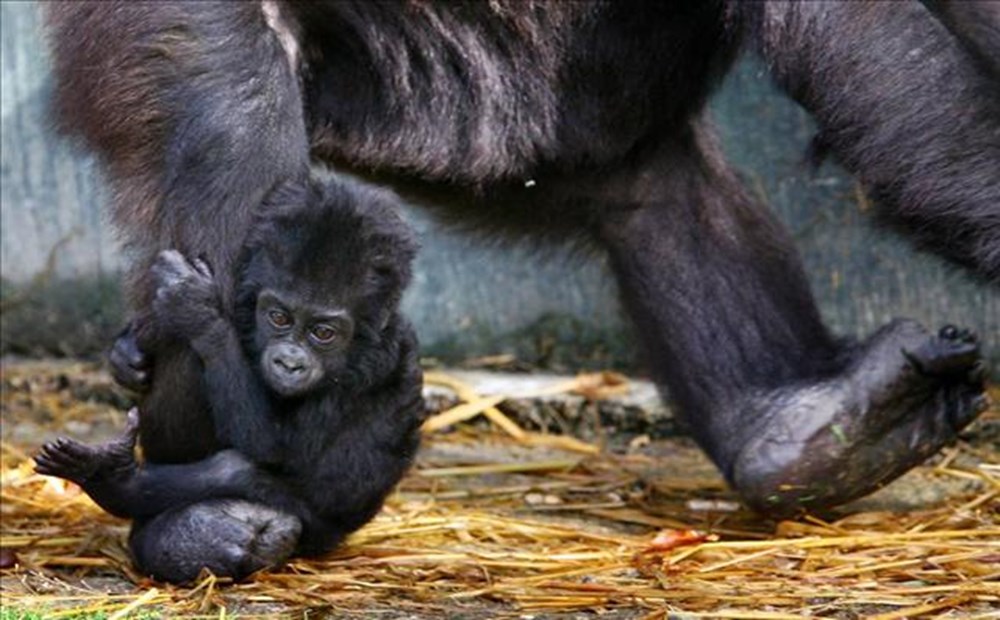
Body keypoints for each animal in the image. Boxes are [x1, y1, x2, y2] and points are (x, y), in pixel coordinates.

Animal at [35, 177, 424, 584]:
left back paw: (112, 479)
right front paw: (126, 356)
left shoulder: (365, 371)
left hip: (320, 531)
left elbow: (268, 443)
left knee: (234, 470)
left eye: (323, 333)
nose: (289, 363)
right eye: (279, 317)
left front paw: (198, 312)